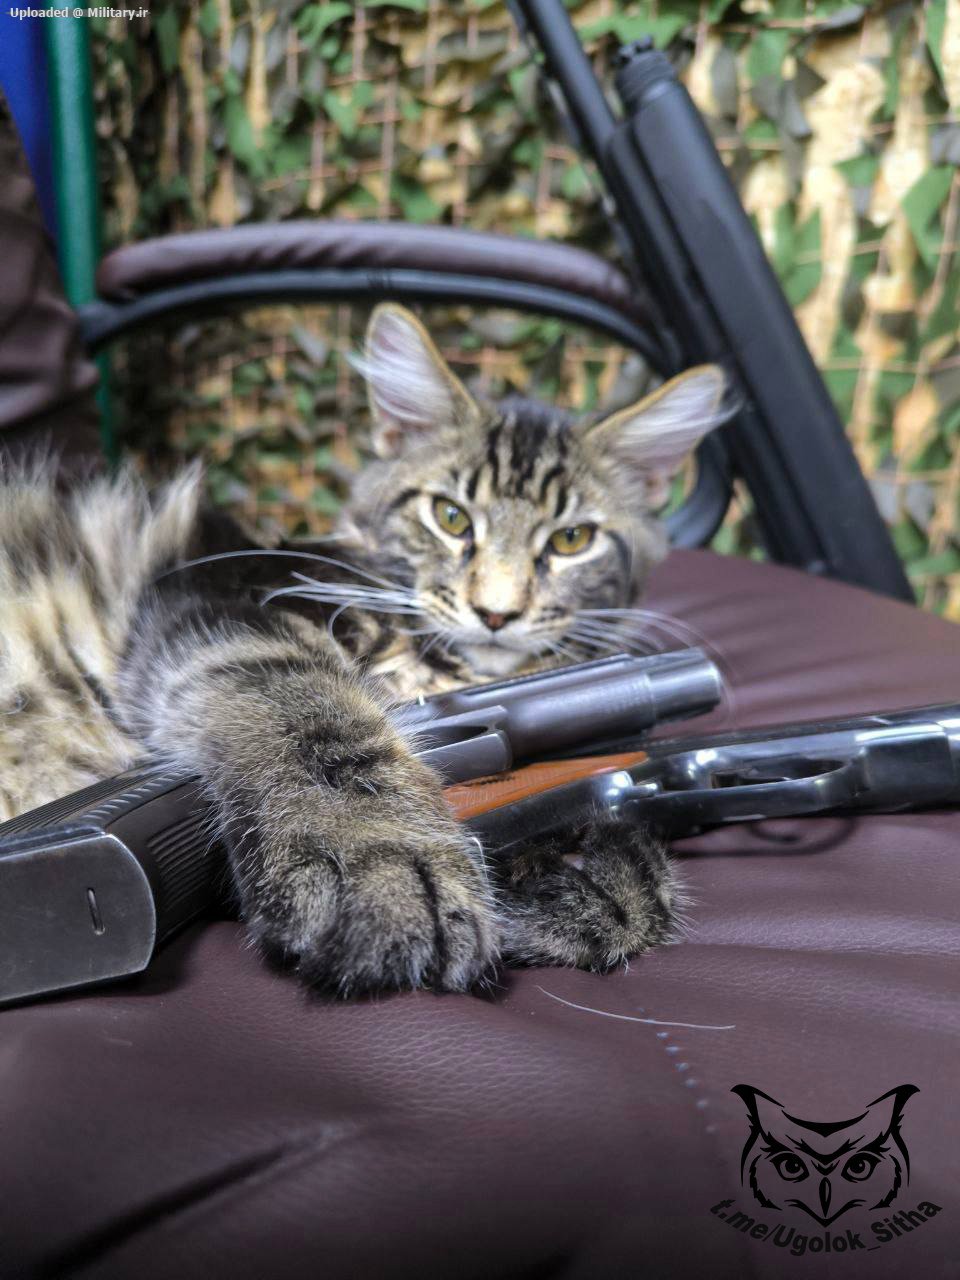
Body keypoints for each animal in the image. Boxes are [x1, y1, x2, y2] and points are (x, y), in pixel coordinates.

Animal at [0, 304, 721, 993]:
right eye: (451, 518)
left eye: (572, 540)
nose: (497, 612)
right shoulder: (219, 602)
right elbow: (325, 729)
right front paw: (382, 857)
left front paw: (598, 889)